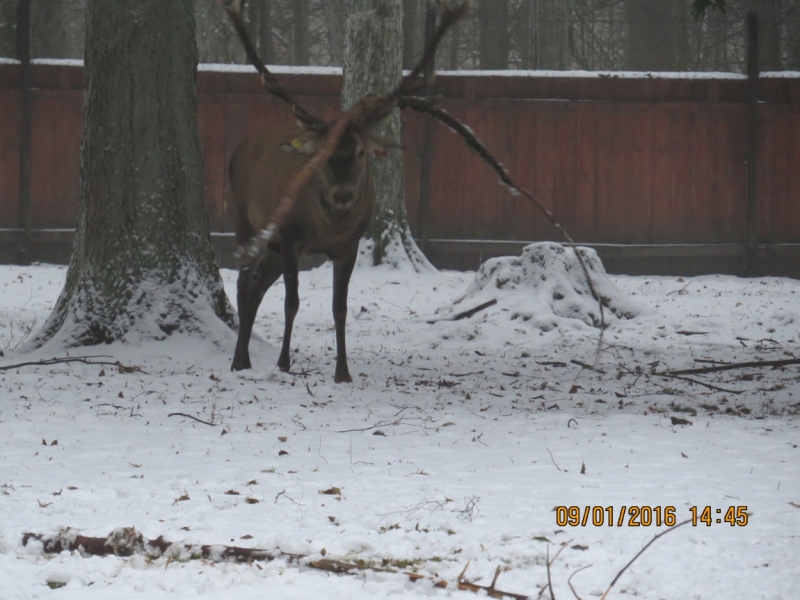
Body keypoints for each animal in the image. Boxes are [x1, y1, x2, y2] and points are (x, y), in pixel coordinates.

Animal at [222, 0, 604, 382]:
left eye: (361, 152)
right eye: (323, 155)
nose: (343, 195)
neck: (326, 227)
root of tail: (239, 149)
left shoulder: (348, 245)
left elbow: (339, 307)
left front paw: (343, 372)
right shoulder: (290, 236)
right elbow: (292, 302)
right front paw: (284, 364)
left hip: (271, 244)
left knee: (255, 286)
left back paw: (245, 357)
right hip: (246, 217)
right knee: (243, 284)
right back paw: (239, 360)